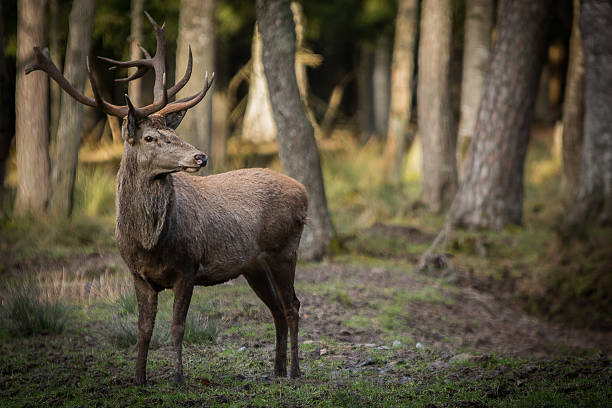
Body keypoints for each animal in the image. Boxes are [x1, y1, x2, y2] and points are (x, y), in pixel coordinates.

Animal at [26, 11, 308, 384]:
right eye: (149, 137)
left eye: (173, 132)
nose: (200, 157)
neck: (150, 242)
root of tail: (303, 191)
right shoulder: (137, 274)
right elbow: (144, 329)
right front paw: (139, 378)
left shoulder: (187, 268)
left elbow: (176, 327)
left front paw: (178, 377)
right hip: (253, 265)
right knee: (276, 308)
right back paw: (276, 369)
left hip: (284, 249)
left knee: (293, 305)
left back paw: (295, 370)